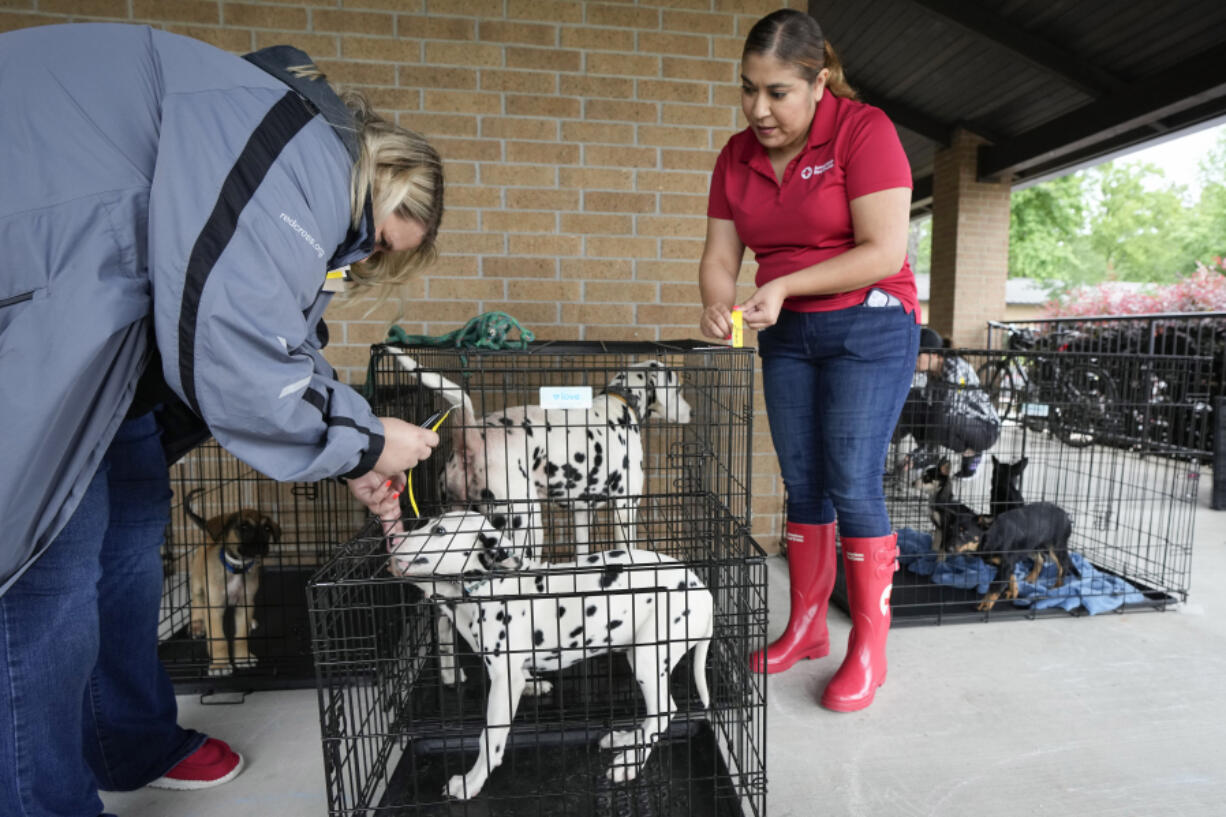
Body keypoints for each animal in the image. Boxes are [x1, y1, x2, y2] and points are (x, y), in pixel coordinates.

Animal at [182, 485, 280, 672]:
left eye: (267, 529)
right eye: (243, 527)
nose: (262, 546)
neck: (237, 569)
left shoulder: (245, 604)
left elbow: (241, 636)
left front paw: (243, 657)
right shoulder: (214, 608)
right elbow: (219, 639)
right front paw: (220, 664)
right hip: (197, 583)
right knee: (197, 601)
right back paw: (197, 624)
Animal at [387, 505, 715, 799]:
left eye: (440, 531)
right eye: (425, 522)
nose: (391, 538)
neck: (493, 587)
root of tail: (704, 591)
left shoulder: (503, 680)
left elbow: (490, 738)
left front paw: (471, 782)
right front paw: (533, 685)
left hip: (648, 657)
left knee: (664, 711)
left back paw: (630, 764)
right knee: (653, 716)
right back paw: (626, 739)